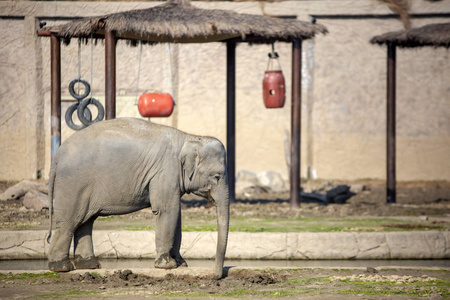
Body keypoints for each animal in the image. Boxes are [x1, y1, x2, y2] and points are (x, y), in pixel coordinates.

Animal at [46, 116, 229, 278]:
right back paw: (61, 267)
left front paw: (181, 264)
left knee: (85, 221)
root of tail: (57, 156)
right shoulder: (165, 172)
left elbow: (176, 213)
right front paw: (167, 265)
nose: (215, 276)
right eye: (217, 177)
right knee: (70, 222)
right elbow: (167, 210)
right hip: (73, 185)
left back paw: (90, 265)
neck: (189, 137)